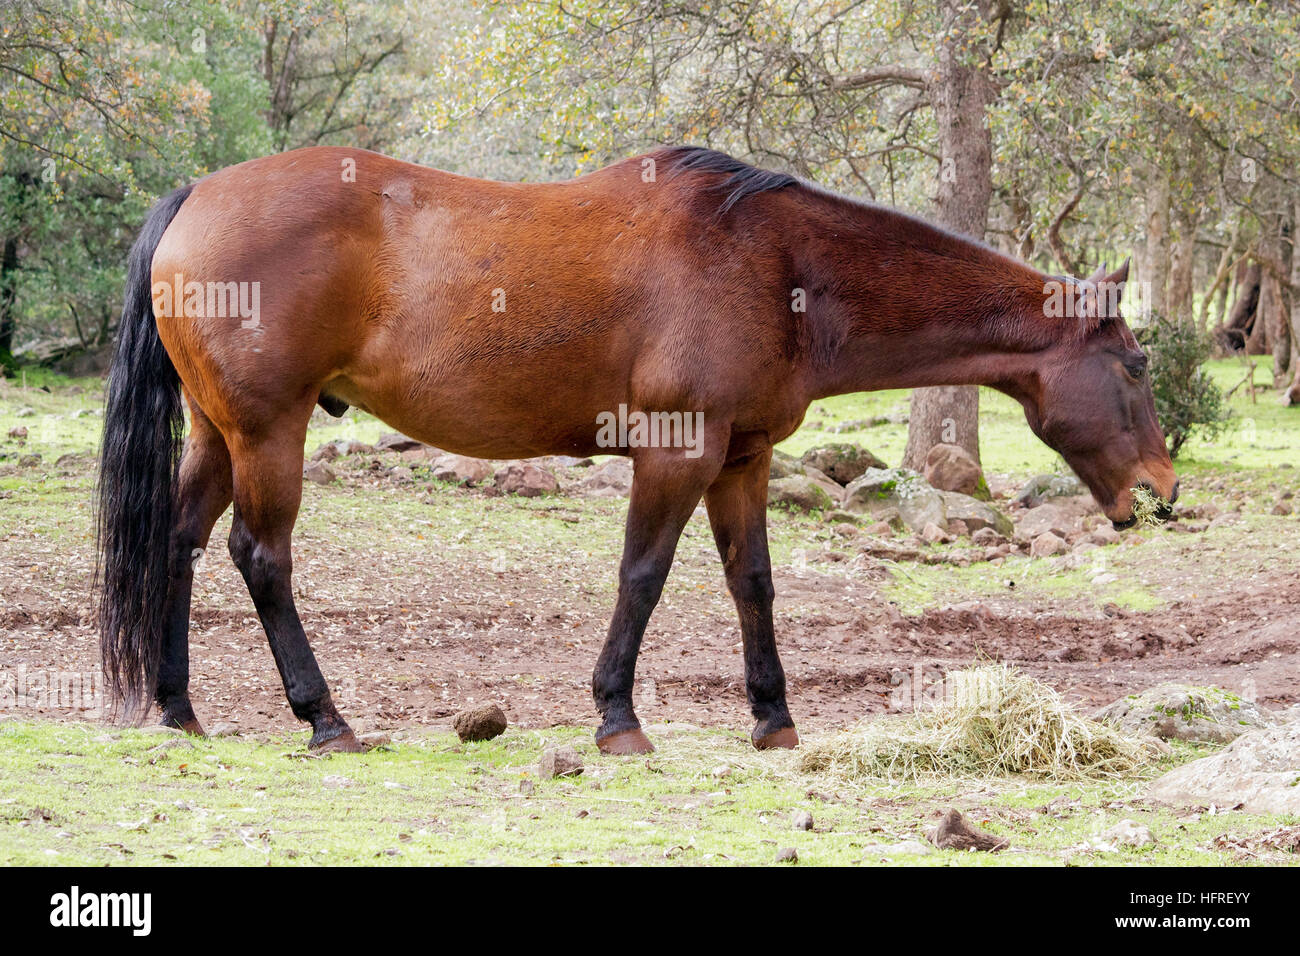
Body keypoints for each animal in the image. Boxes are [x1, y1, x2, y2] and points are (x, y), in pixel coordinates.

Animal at [97, 145, 1178, 755]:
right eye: (1132, 364)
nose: (1161, 491)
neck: (779, 265)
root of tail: (195, 197)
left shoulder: (741, 460)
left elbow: (751, 583)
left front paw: (773, 716)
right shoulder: (676, 455)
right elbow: (643, 575)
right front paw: (618, 715)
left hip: (219, 435)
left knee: (180, 544)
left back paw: (178, 707)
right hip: (268, 434)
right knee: (261, 558)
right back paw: (324, 718)